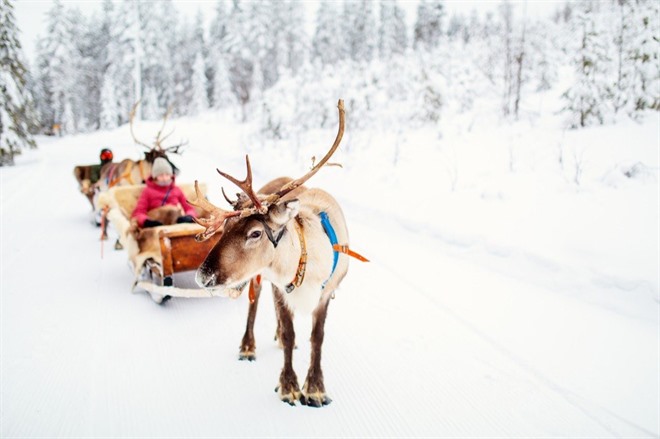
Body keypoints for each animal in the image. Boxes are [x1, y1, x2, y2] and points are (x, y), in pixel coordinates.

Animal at [189, 99, 367, 407]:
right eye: (225, 228)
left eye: (255, 233)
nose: (203, 277)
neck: (305, 262)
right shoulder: (279, 287)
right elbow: (288, 331)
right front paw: (288, 385)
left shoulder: (325, 293)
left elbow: (317, 337)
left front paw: (315, 388)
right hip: (259, 279)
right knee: (254, 305)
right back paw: (248, 347)